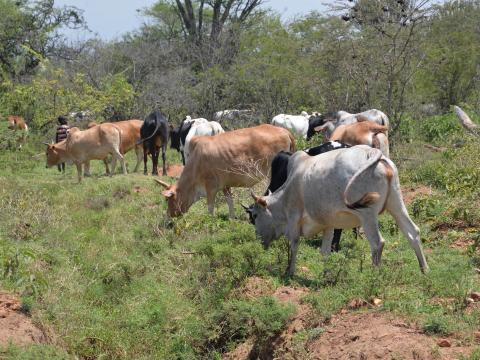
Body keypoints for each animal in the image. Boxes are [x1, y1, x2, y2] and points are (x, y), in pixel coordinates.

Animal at [156, 124, 294, 218]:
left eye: (168, 200)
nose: (168, 216)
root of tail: (284, 131)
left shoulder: (210, 187)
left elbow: (210, 207)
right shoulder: (225, 186)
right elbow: (230, 202)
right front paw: (232, 218)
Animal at [249, 146, 430, 276]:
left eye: (255, 216)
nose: (259, 241)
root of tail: (371, 152)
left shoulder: (294, 219)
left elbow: (294, 245)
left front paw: (290, 272)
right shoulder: (328, 224)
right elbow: (325, 251)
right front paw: (326, 275)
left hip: (367, 214)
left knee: (377, 243)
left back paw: (374, 276)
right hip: (396, 203)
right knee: (413, 232)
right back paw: (424, 269)